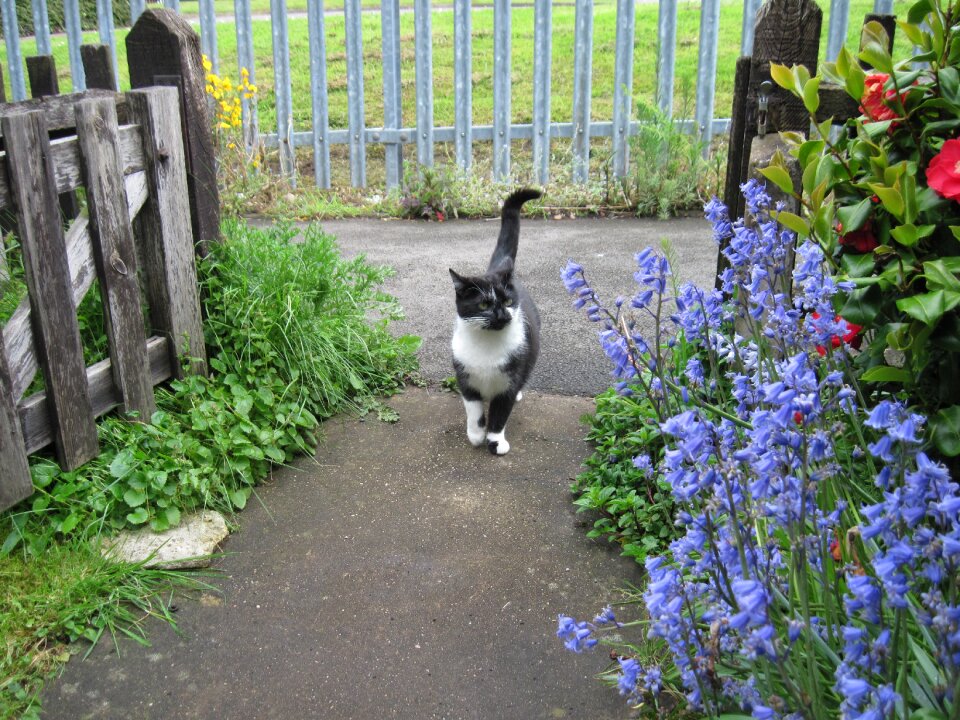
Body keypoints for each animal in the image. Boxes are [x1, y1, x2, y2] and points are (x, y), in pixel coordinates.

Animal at [448, 187, 540, 456]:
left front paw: (495, 441)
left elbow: (500, 414)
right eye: (483, 305)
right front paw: (476, 435)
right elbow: (474, 409)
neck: (487, 345)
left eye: (508, 301)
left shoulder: (509, 382)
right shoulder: (465, 378)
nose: (502, 314)